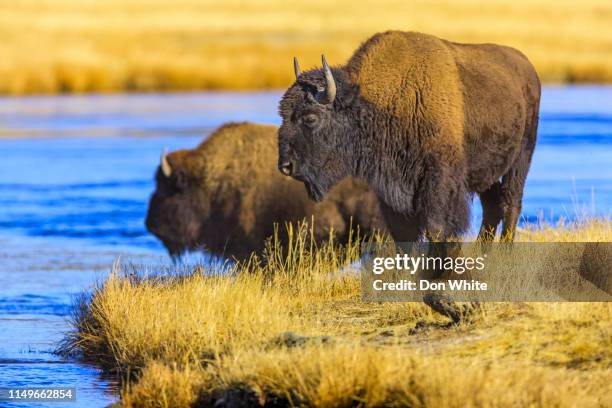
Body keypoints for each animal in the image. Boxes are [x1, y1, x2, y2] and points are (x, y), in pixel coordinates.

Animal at [278, 31, 540, 244]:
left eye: (310, 118)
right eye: (282, 114)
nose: (285, 166)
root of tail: (527, 67)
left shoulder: (438, 181)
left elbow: (436, 228)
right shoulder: (391, 192)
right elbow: (404, 235)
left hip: (521, 158)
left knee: (510, 202)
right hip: (485, 171)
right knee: (492, 204)